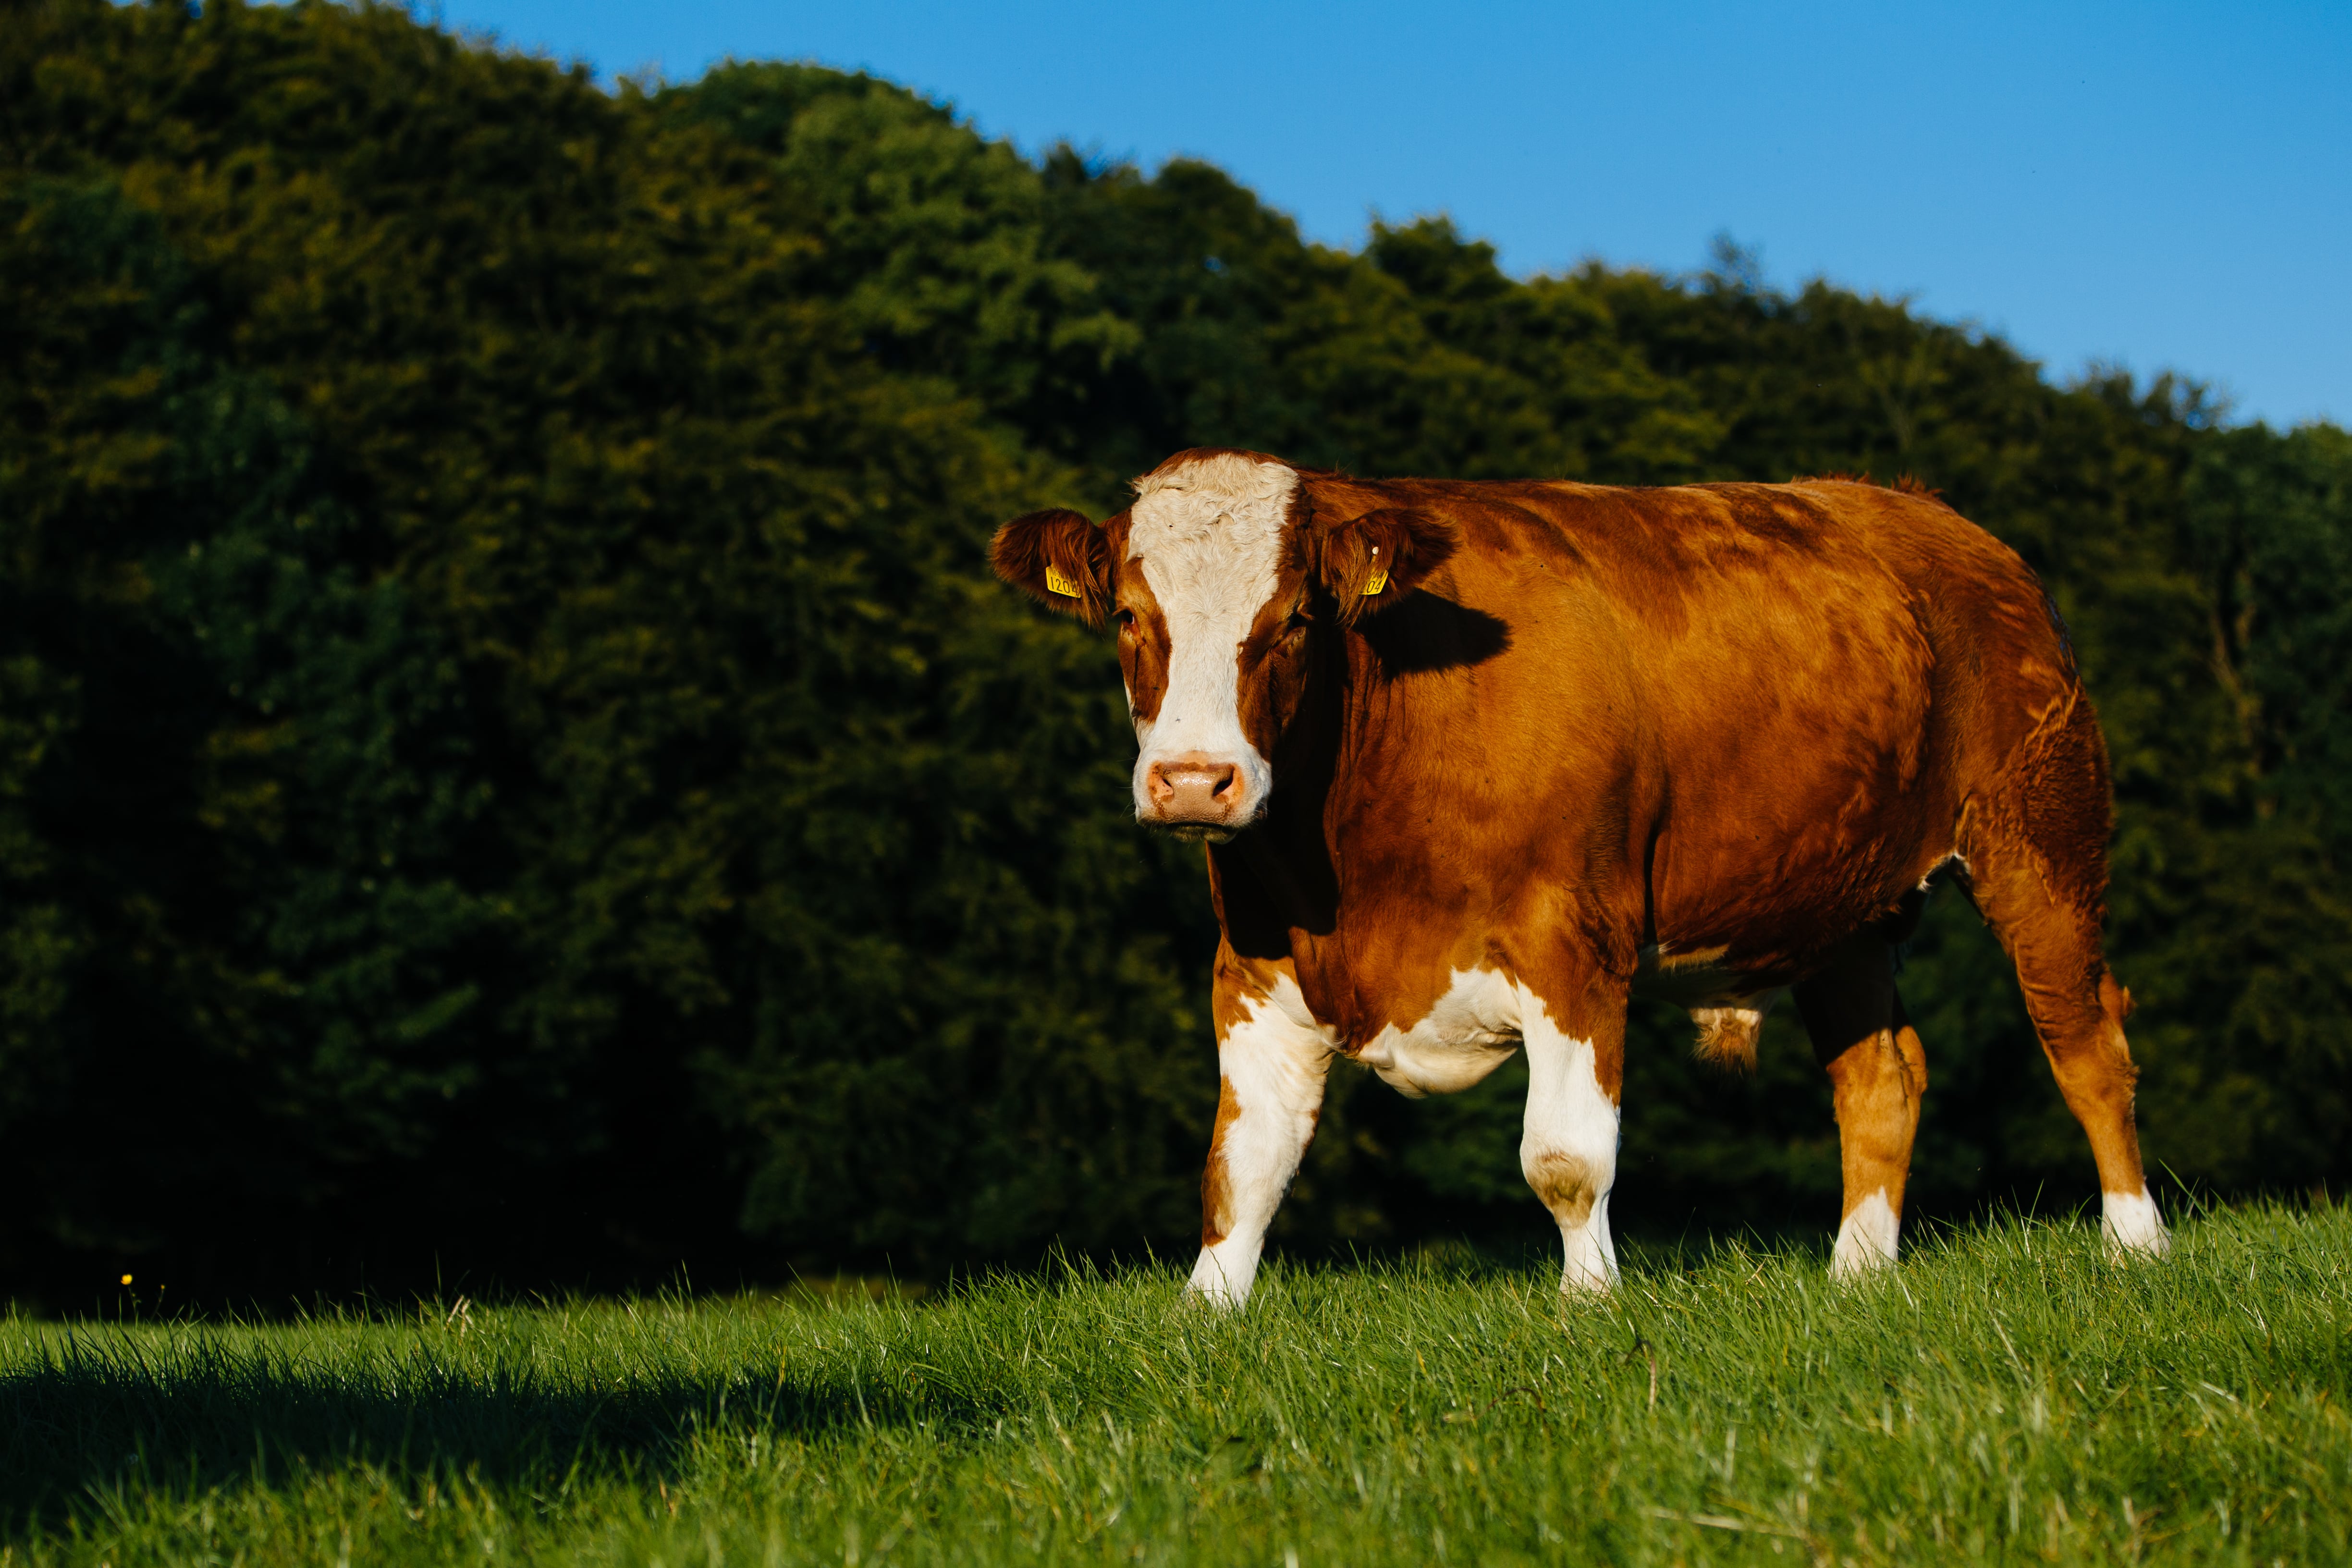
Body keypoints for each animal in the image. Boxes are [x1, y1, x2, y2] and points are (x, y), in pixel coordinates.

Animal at [992, 447, 2168, 1305]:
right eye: (1130, 615)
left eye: (1291, 622)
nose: (1196, 780)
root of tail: (1930, 515)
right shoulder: (1253, 962)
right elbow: (1244, 1165)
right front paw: (1207, 1314)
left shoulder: (1574, 942)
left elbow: (1563, 1156)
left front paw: (1589, 1304)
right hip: (1838, 902)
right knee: (1880, 1076)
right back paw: (1857, 1274)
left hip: (2040, 837)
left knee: (2085, 1044)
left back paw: (2136, 1243)